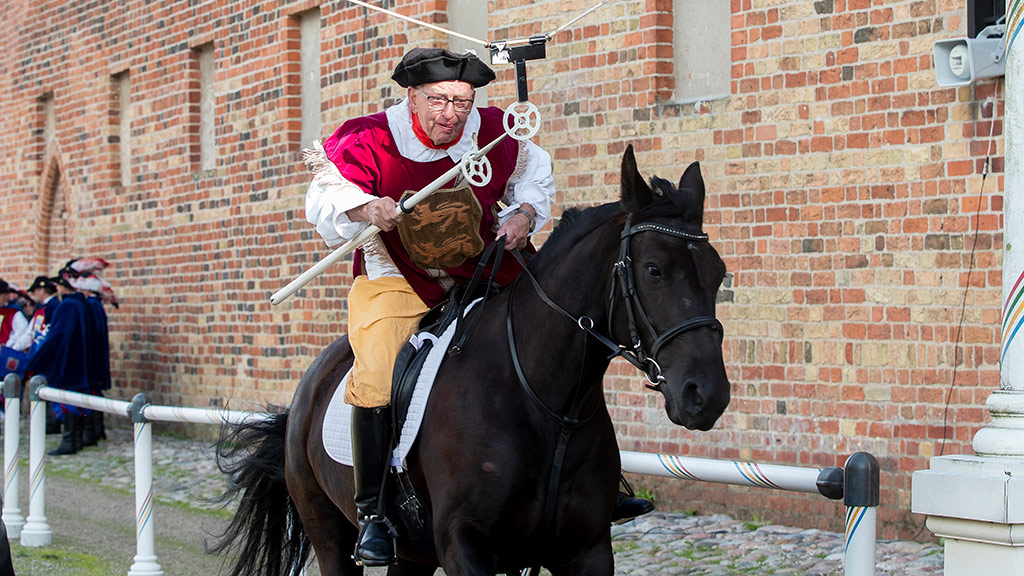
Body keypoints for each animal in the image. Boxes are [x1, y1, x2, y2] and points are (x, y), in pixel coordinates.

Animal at [211, 145, 733, 569]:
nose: (706, 395)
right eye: (654, 269)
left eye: (719, 272)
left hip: (414, 558)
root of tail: (306, 389)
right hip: (329, 534)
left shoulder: (586, 549)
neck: (542, 402)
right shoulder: (466, 547)